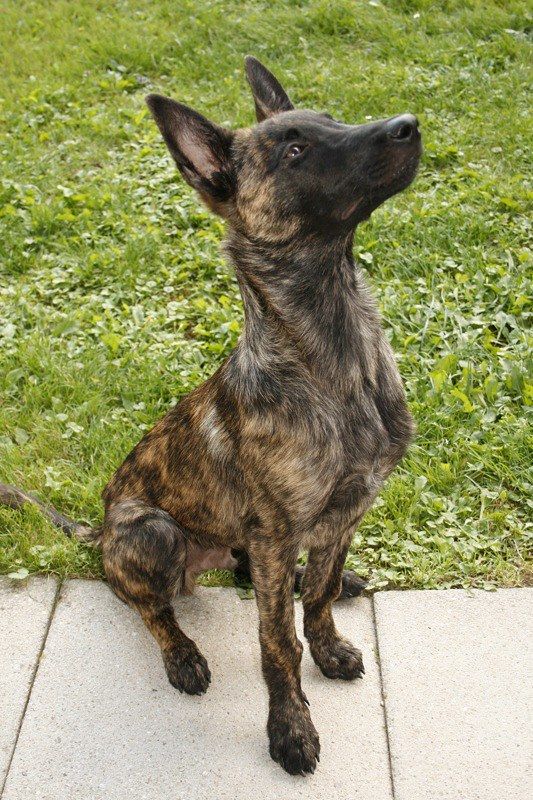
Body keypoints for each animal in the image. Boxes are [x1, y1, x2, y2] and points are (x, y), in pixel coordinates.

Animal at [1, 57, 420, 776]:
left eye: (332, 119)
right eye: (294, 150)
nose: (409, 125)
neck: (335, 357)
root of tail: (99, 529)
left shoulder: (345, 512)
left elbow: (314, 602)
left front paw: (330, 643)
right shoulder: (279, 532)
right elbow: (277, 645)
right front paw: (290, 730)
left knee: (251, 574)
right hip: (155, 534)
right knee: (150, 606)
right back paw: (183, 655)